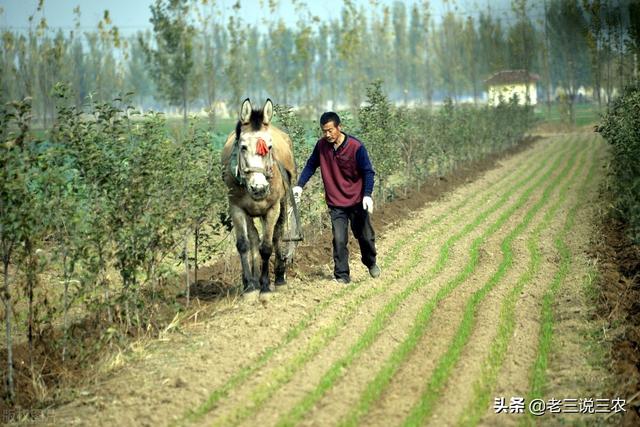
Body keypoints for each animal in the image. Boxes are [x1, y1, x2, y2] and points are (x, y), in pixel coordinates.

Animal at [222, 99, 298, 294]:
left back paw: (278, 276)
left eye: (268, 147)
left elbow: (267, 246)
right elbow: (244, 244)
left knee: (277, 234)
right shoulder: (236, 207)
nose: (259, 188)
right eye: (243, 147)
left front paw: (265, 285)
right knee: (254, 237)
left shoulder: (272, 208)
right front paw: (250, 285)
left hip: (283, 203)